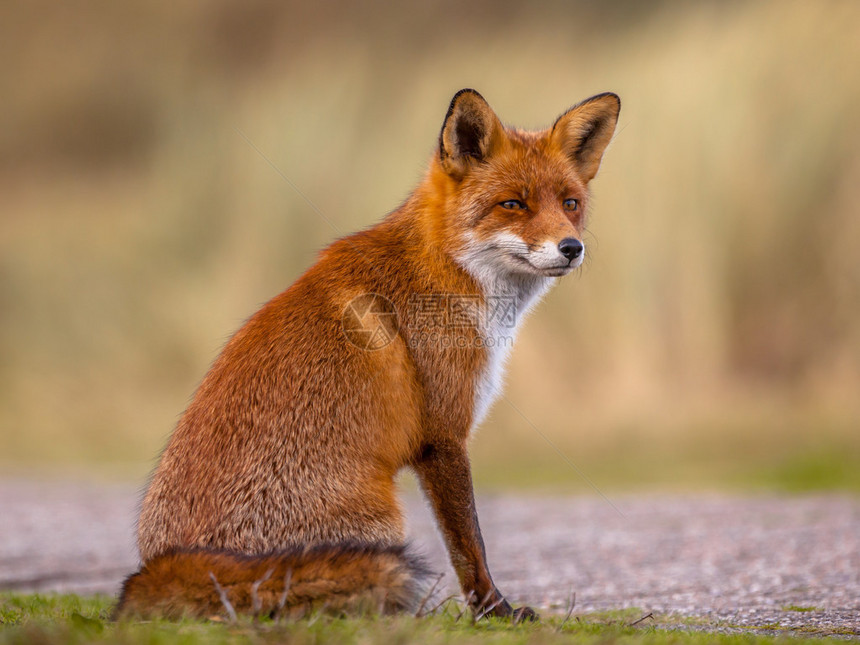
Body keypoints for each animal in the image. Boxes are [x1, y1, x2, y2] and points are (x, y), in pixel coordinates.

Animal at [117, 88, 620, 620]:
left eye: (570, 204)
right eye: (513, 204)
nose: (571, 247)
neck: (444, 271)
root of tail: (168, 564)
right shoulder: (442, 436)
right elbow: (470, 545)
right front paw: (494, 611)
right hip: (384, 523)